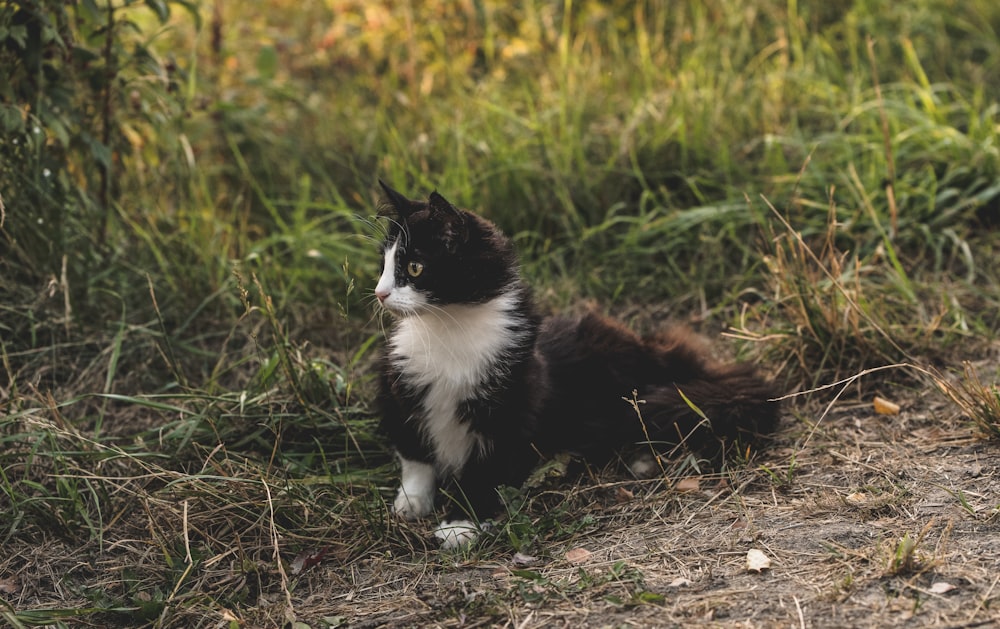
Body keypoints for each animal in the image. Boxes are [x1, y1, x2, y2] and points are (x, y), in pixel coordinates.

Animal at [372, 179, 776, 548]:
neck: (447, 327)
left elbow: (484, 470)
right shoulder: (398, 389)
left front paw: (460, 523)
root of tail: (653, 348)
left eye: (415, 267)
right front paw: (411, 502)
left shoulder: (510, 409)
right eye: (385, 266)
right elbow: (415, 457)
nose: (379, 293)